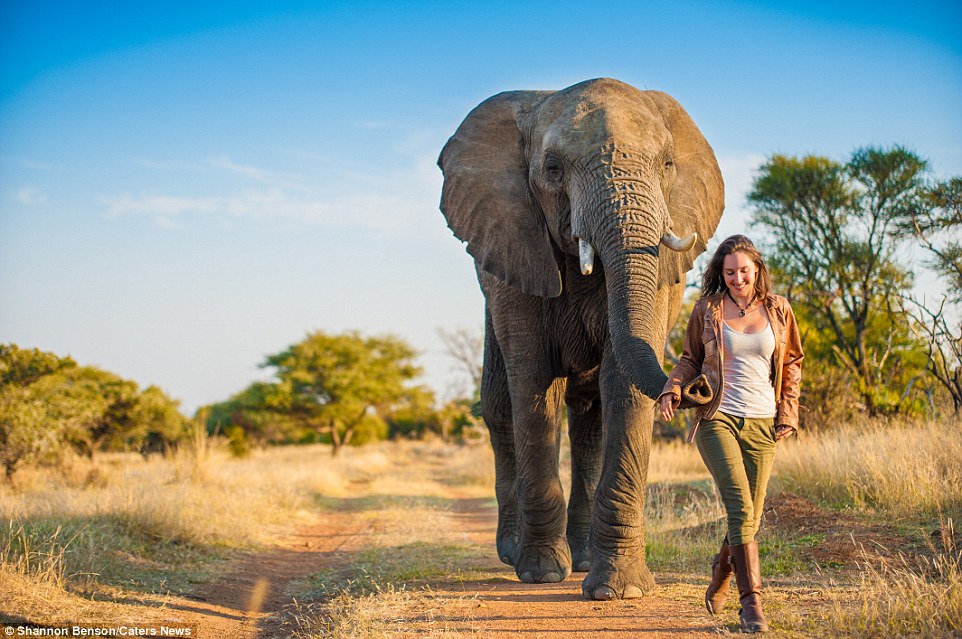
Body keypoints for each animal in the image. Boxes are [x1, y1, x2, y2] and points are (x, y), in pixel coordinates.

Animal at [436, 79, 720, 600]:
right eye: (552, 169)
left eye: (668, 165)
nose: (697, 385)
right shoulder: (515, 249)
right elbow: (534, 386)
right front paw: (543, 573)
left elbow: (622, 387)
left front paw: (621, 591)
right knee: (499, 404)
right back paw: (514, 553)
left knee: (590, 418)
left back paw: (585, 559)